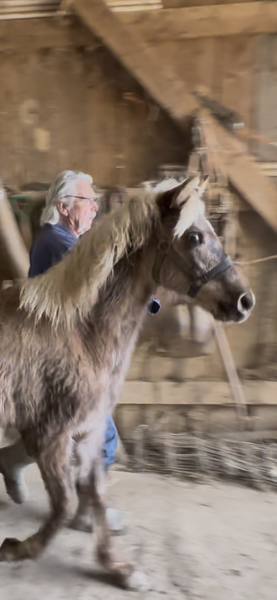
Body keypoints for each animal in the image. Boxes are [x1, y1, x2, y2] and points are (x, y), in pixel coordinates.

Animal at [0, 173, 254, 584]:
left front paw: (117, 567)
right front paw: (17, 548)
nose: (245, 301)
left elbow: (96, 491)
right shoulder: (50, 435)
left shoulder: (86, 432)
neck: (78, 331)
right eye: (194, 237)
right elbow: (65, 504)